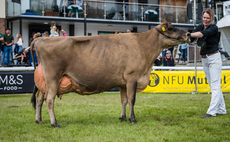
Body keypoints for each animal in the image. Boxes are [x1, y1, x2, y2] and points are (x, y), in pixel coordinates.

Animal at [30, 19, 190, 127]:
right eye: (171, 28)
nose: (188, 33)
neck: (143, 46)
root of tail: (40, 39)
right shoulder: (132, 77)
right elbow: (132, 99)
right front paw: (133, 119)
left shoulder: (123, 82)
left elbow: (124, 100)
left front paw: (123, 117)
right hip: (53, 77)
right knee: (49, 99)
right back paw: (54, 123)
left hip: (45, 81)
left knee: (39, 98)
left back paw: (39, 120)